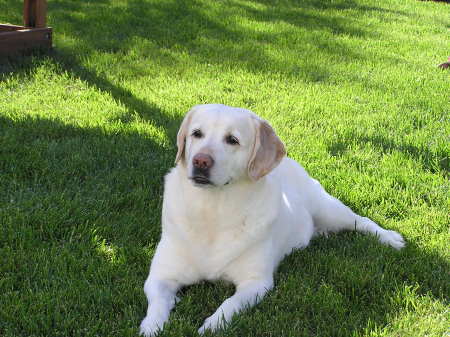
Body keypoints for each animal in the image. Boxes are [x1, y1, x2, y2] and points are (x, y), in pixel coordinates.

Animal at [140, 103, 404, 334]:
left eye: (232, 140)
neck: (213, 210)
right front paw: (151, 327)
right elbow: (157, 304)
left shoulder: (256, 282)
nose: (201, 161)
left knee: (362, 221)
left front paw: (213, 325)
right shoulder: (159, 277)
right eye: (197, 134)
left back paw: (390, 238)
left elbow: (229, 304)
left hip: (329, 210)